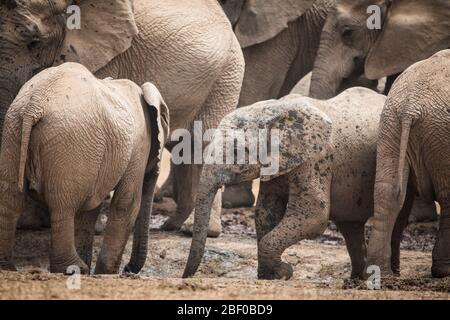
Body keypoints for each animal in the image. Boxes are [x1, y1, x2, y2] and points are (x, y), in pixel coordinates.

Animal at [0, 1, 244, 238]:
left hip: (226, 75)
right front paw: (31, 223)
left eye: (34, 42)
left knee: (204, 143)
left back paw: (196, 230)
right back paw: (174, 226)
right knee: (186, 148)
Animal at [0, 63, 170, 276]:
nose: (128, 270)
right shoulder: (140, 144)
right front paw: (104, 273)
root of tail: (35, 103)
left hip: (13, 128)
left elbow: (90, 209)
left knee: (11, 200)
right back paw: (73, 268)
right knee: (62, 206)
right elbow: (126, 203)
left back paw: (7, 267)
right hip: (68, 140)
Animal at [183, 87, 414, 280]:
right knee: (351, 227)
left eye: (237, 151)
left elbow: (313, 214)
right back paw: (355, 279)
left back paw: (388, 277)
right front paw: (273, 274)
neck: (276, 109)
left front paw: (283, 272)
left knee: (395, 218)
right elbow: (266, 210)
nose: (185, 277)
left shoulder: (317, 158)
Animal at [366, 49, 450, 278]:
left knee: (388, 193)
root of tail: (411, 107)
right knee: (447, 196)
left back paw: (383, 272)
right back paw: (443, 271)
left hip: (390, 124)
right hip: (439, 132)